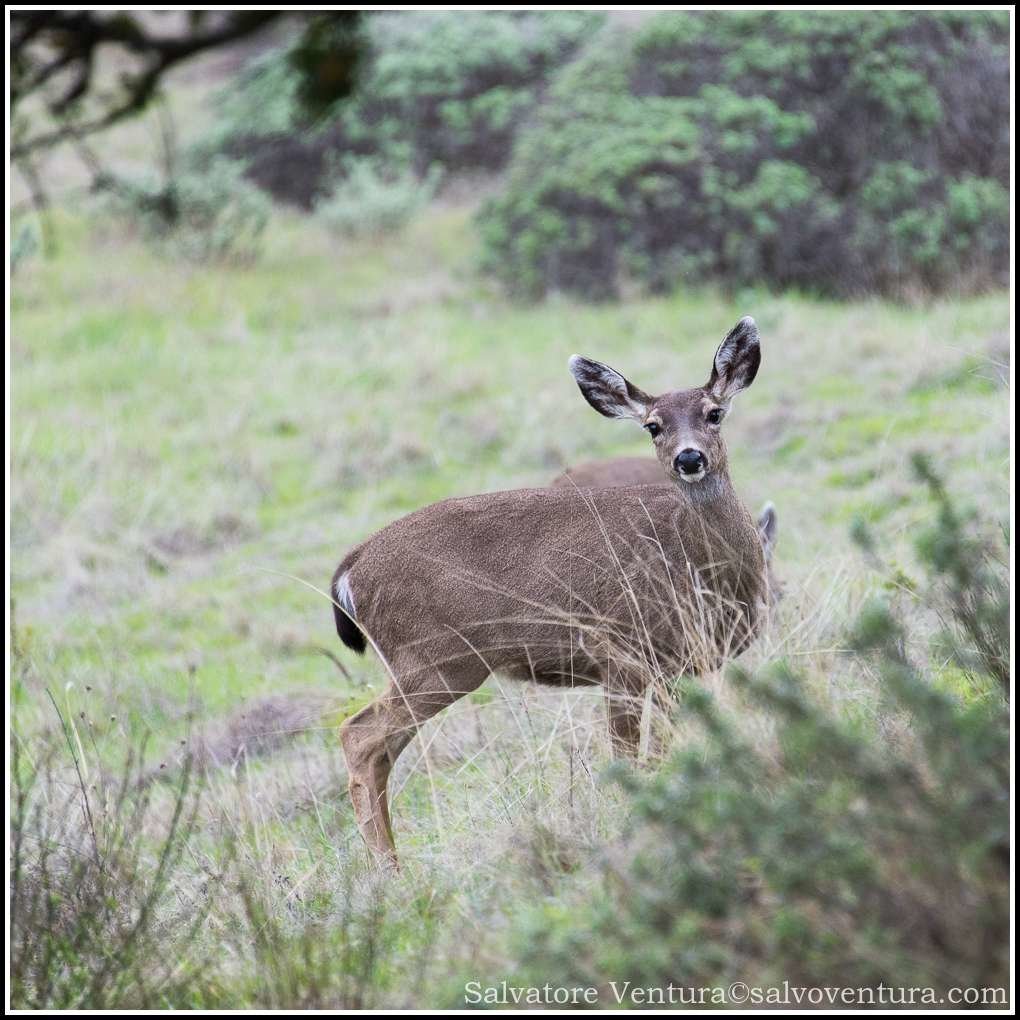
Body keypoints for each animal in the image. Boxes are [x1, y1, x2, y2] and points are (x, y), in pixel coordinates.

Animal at [330, 316, 767, 860]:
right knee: (359, 735)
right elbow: (631, 757)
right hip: (435, 658)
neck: (699, 568)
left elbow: (664, 749)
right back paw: (388, 866)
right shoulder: (621, 653)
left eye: (714, 413)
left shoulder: (679, 667)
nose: (689, 458)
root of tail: (350, 569)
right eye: (653, 425)